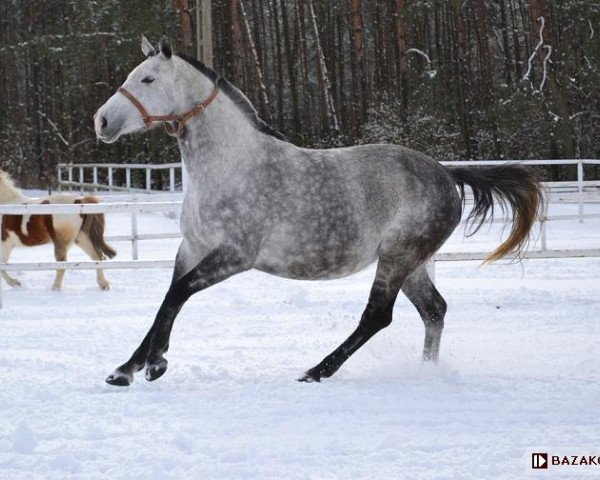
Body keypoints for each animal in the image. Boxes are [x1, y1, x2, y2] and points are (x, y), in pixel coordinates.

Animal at [94, 36, 544, 386]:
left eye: (148, 79)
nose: (101, 121)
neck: (231, 166)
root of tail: (446, 174)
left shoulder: (236, 256)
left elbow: (178, 294)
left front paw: (153, 365)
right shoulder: (192, 248)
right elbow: (167, 299)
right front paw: (128, 368)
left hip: (398, 257)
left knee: (378, 316)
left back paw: (316, 371)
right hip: (413, 263)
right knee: (434, 311)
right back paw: (425, 371)